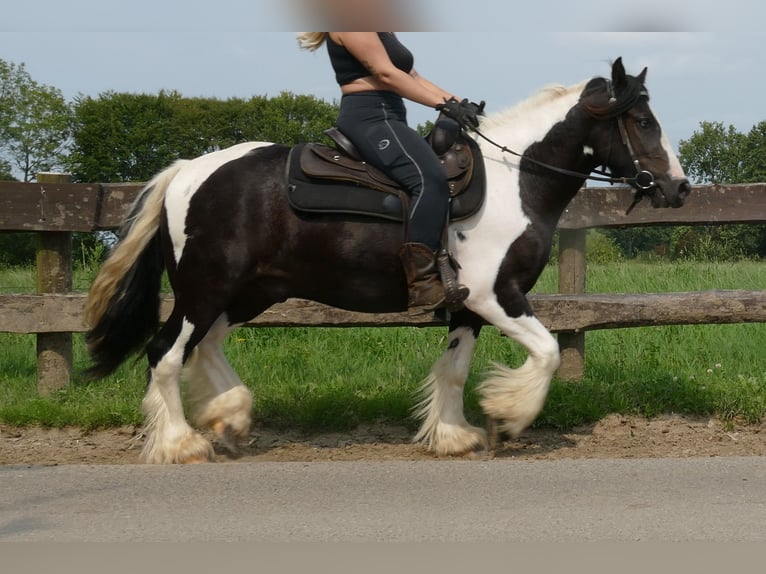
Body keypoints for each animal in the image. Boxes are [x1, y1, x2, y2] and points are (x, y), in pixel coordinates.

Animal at [87, 58, 692, 464]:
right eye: (643, 121)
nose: (679, 188)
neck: (515, 181)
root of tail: (186, 171)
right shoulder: (497, 295)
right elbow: (545, 352)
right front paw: (507, 416)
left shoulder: (467, 305)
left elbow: (454, 370)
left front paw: (454, 435)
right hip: (205, 288)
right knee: (165, 352)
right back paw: (180, 443)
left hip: (251, 291)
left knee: (206, 344)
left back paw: (230, 416)